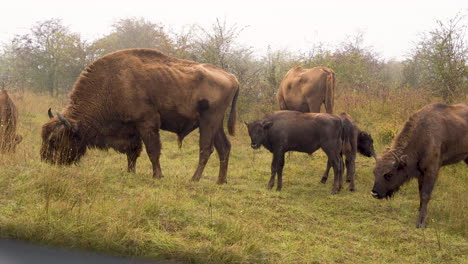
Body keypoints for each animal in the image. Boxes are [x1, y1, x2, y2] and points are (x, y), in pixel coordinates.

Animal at [41, 48, 239, 184]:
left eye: (55, 140)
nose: (46, 161)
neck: (113, 83)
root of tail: (233, 78)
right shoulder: (132, 129)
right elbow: (132, 153)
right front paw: (130, 172)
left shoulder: (147, 123)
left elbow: (152, 151)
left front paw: (157, 176)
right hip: (216, 124)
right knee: (224, 147)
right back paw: (221, 181)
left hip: (208, 121)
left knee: (206, 149)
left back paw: (194, 179)